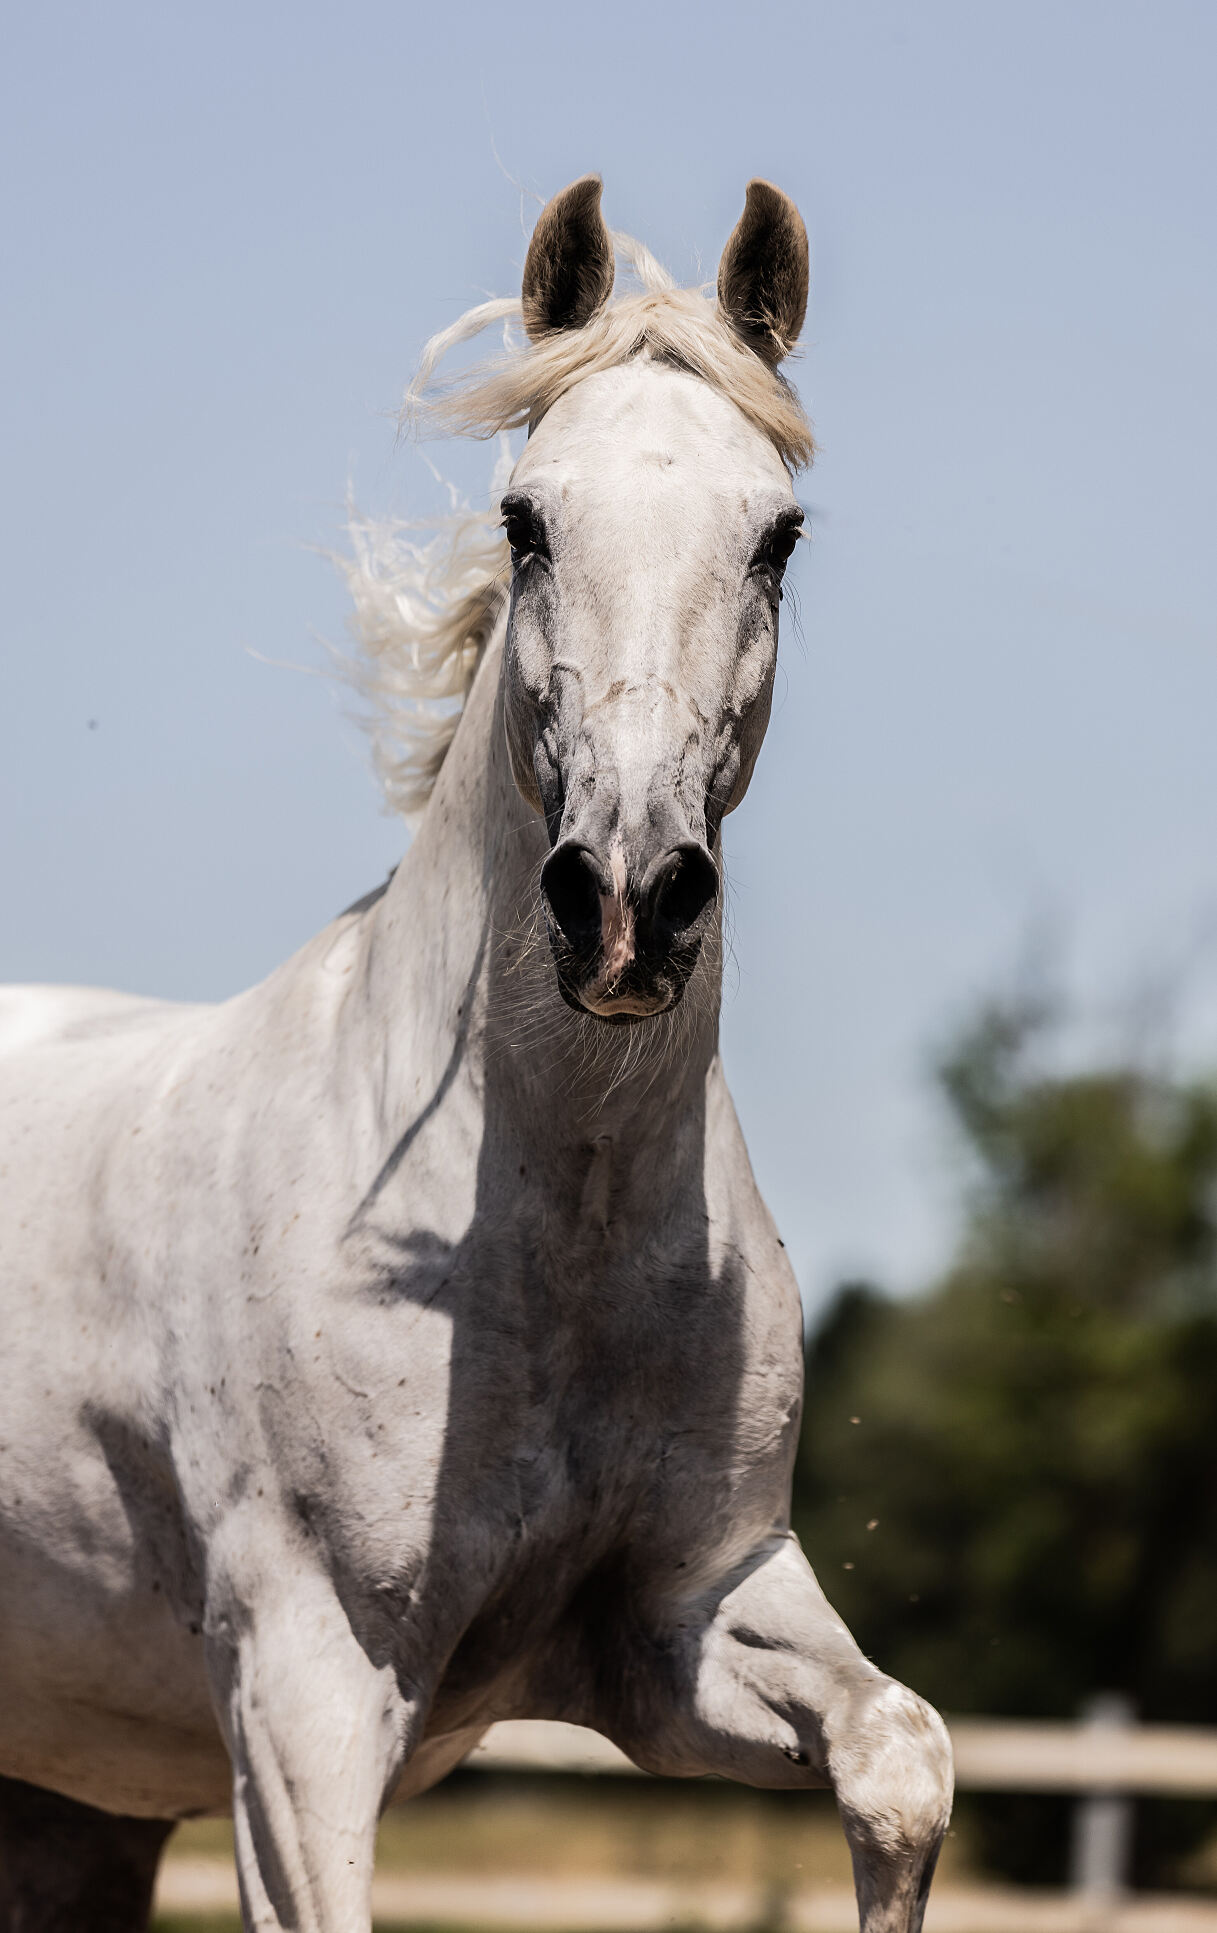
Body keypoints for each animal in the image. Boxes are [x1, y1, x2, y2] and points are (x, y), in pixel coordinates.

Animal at [0, 181, 954, 1933]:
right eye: (524, 520)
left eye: (775, 536)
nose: (627, 903)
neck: (535, 1233)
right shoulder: (306, 1696)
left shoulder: (683, 1626)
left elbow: (900, 1754)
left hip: (69, 1808)